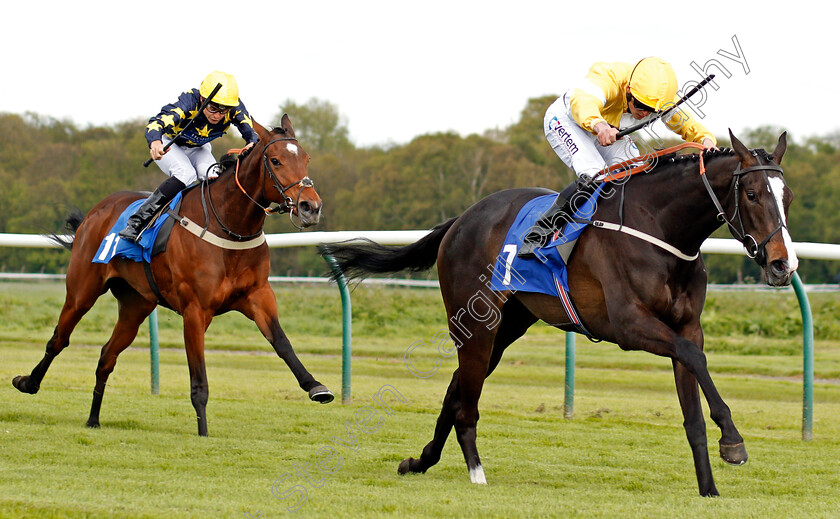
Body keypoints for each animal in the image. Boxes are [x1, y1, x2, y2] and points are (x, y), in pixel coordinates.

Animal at [13, 116, 334, 436]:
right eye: (276, 161)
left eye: (306, 158)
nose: (311, 207)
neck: (230, 227)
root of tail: (96, 212)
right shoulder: (195, 310)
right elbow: (198, 378)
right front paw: (203, 433)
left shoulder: (258, 296)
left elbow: (281, 342)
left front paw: (316, 387)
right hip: (82, 290)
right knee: (59, 339)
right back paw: (28, 382)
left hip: (135, 305)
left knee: (107, 355)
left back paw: (93, 419)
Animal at [320, 130, 796, 496]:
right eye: (752, 194)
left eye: (787, 196)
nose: (782, 264)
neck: (660, 229)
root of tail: (462, 219)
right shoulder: (630, 326)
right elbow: (694, 358)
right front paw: (733, 441)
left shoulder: (686, 327)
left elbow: (693, 401)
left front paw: (709, 487)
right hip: (475, 321)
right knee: (467, 399)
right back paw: (475, 471)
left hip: (507, 325)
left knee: (456, 389)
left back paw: (420, 461)